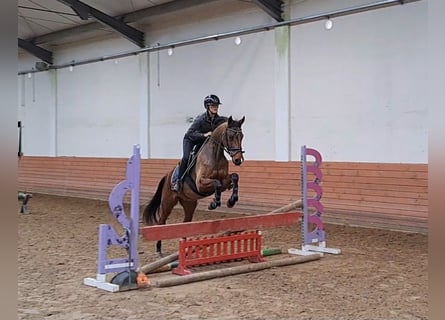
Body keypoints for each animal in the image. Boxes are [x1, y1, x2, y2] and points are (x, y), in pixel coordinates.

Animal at [143, 115, 245, 255]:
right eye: (230, 136)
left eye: (242, 136)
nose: (238, 160)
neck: (215, 154)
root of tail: (167, 176)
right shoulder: (200, 184)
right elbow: (216, 183)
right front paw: (214, 203)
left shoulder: (225, 180)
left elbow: (234, 177)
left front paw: (232, 200)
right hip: (167, 203)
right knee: (161, 222)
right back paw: (158, 248)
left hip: (189, 203)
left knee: (186, 223)